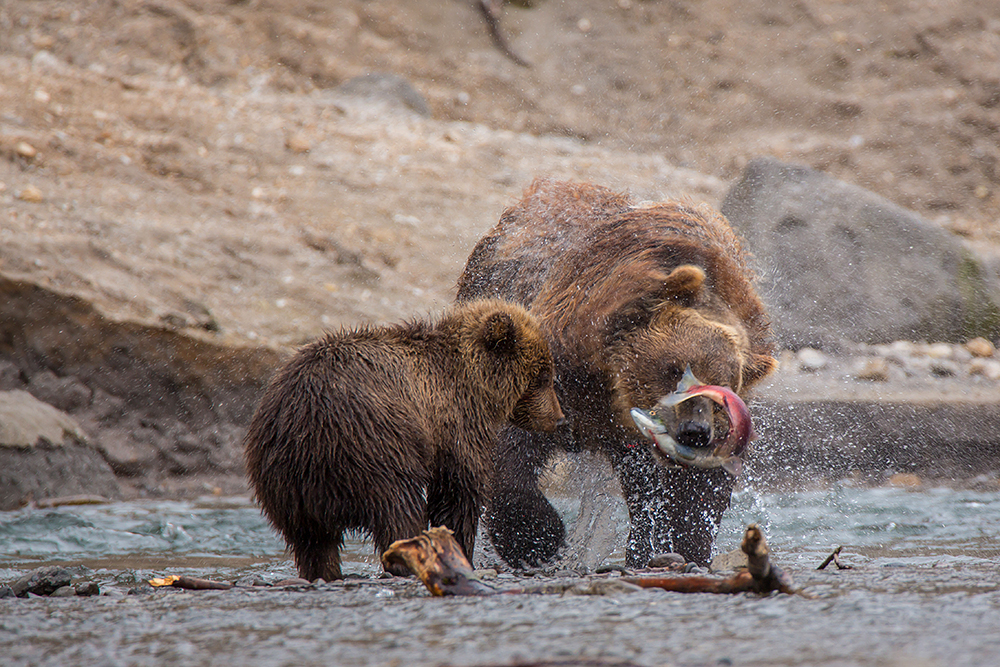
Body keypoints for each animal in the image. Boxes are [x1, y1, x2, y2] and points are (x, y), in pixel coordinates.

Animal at [244, 300, 564, 580]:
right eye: (543, 375)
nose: (559, 418)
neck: (474, 384)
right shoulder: (452, 421)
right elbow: (457, 490)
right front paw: (460, 550)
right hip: (372, 445)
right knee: (398, 508)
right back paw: (408, 556)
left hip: (285, 484)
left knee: (313, 543)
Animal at [458, 181, 776, 568]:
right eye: (673, 369)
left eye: (723, 393)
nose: (694, 432)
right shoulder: (559, 371)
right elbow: (510, 442)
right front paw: (537, 538)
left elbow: (697, 489)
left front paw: (687, 547)